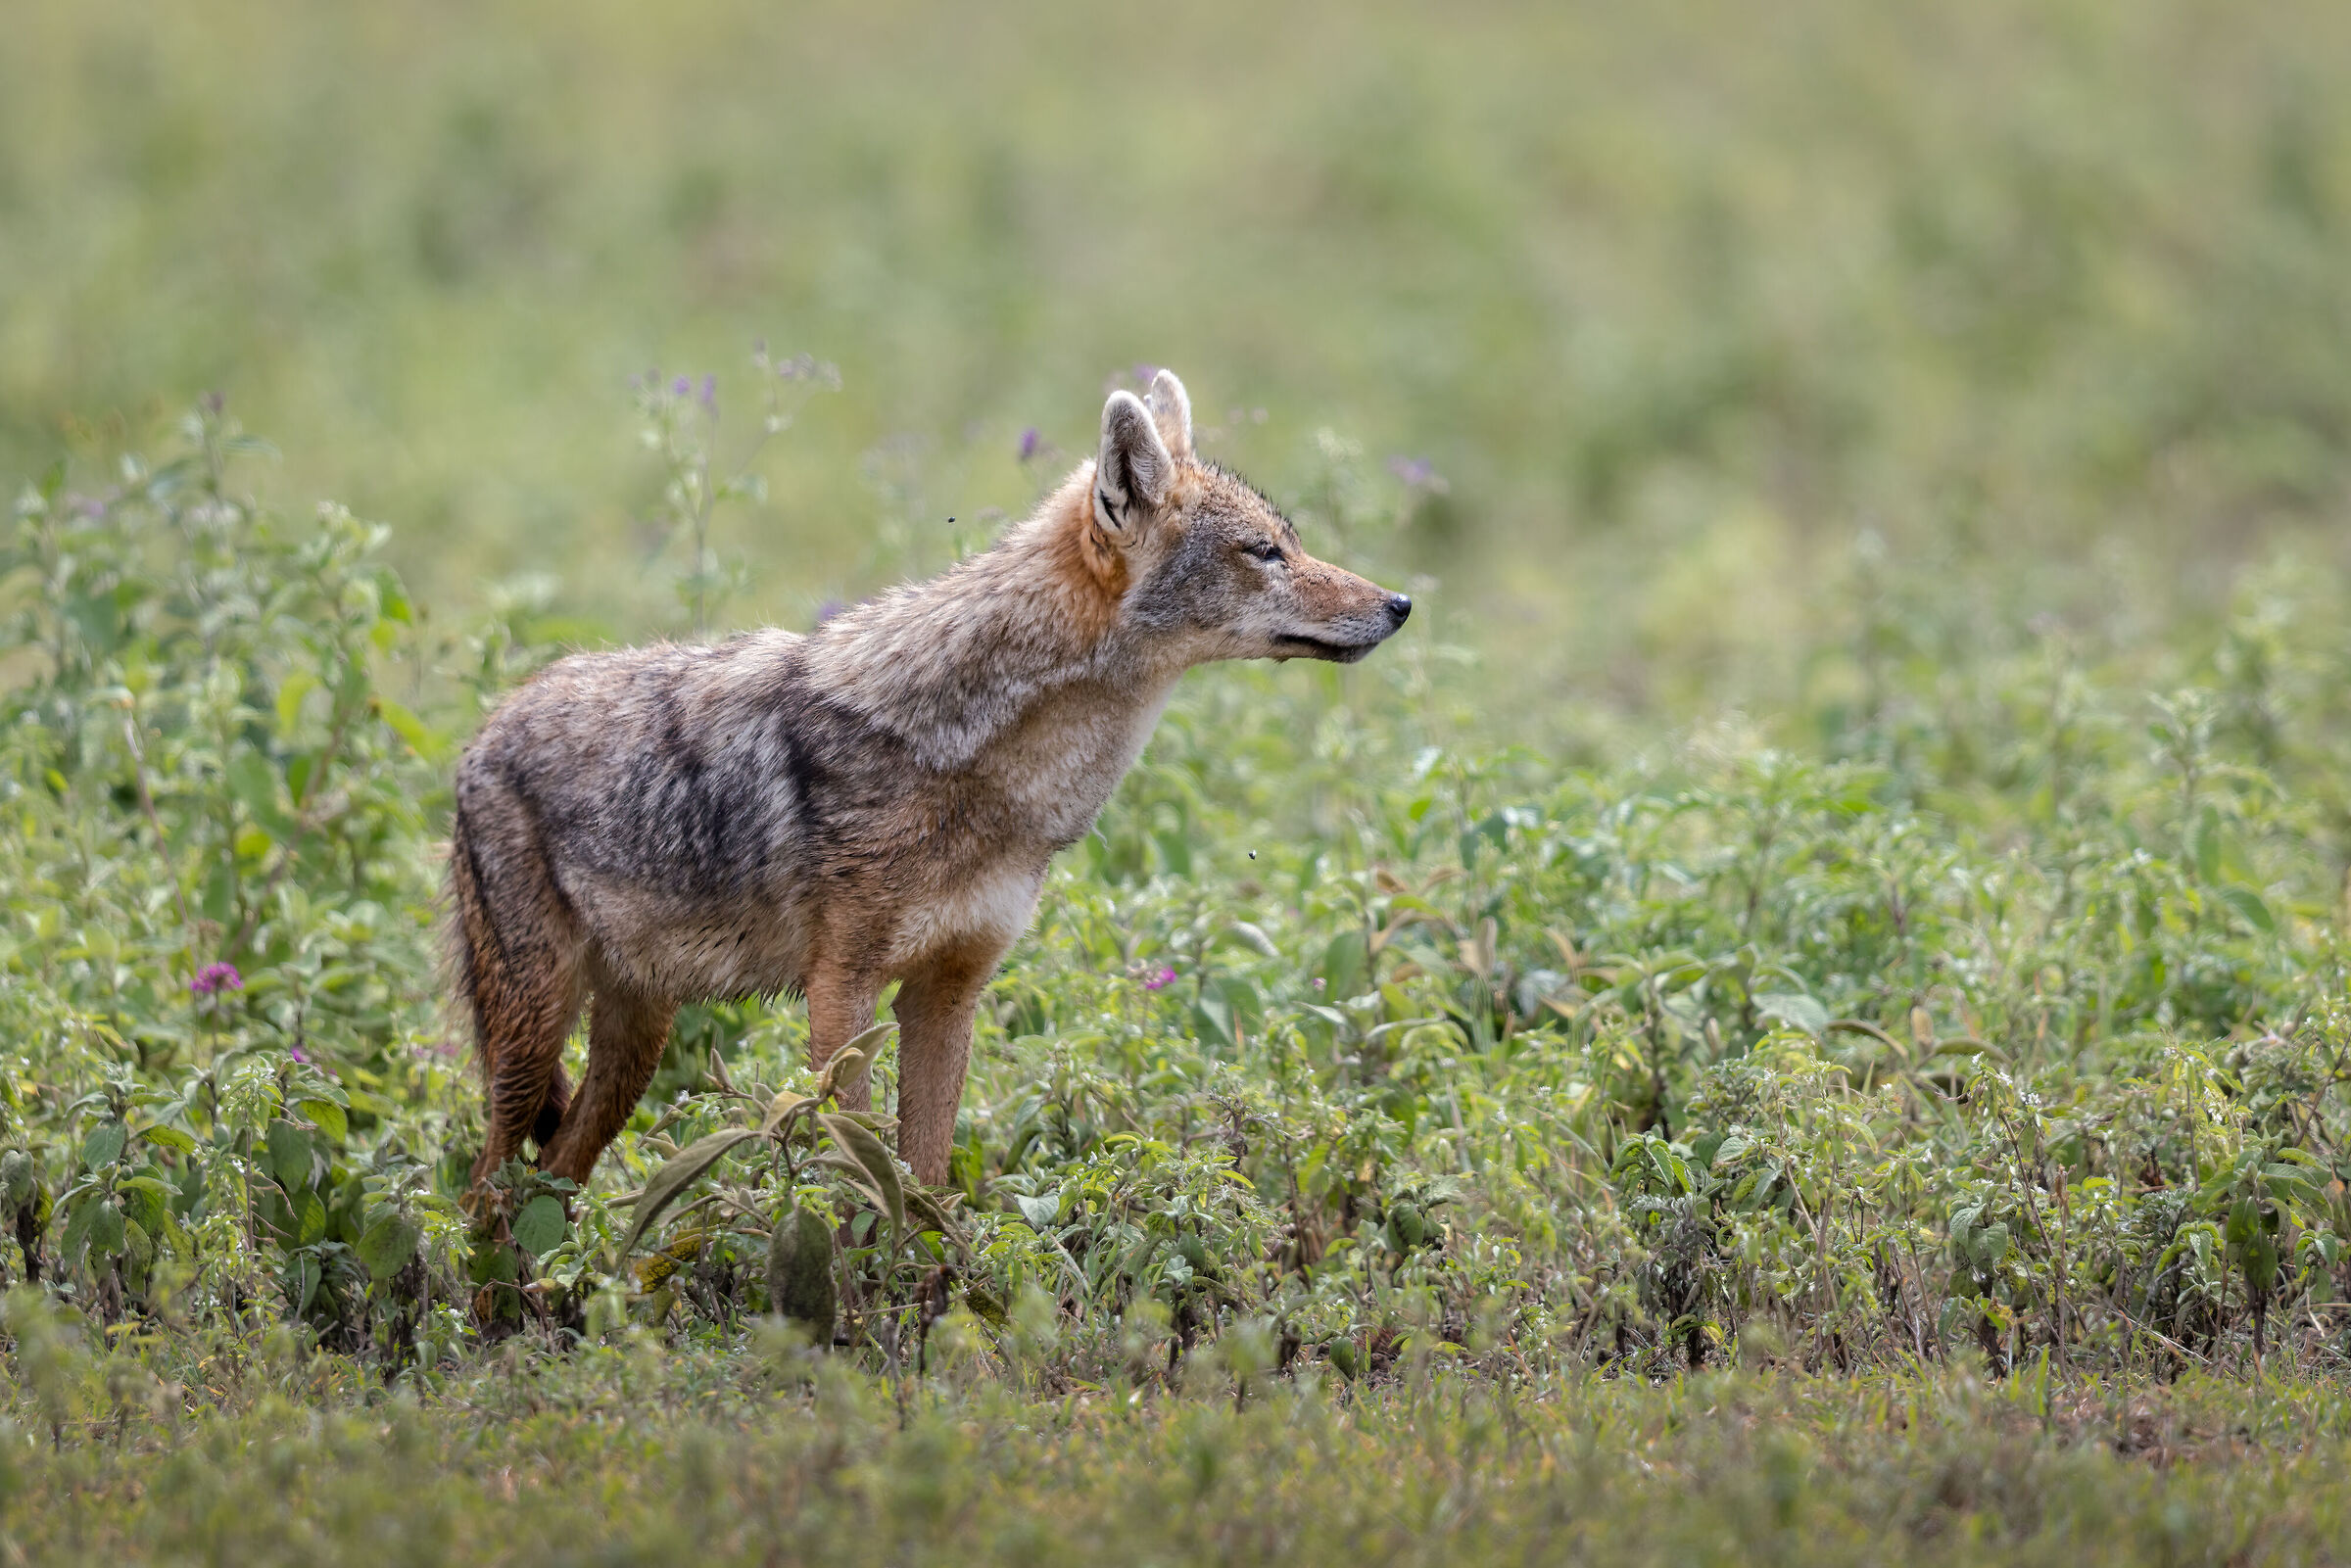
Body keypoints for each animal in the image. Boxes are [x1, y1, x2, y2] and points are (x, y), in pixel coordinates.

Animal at [446, 369, 1411, 1196]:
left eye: (1293, 543)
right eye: (1265, 551)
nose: (1400, 603)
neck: (983, 766)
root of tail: (485, 727)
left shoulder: (948, 989)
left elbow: (928, 1180)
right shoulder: (842, 989)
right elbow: (858, 1177)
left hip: (632, 1048)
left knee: (551, 1181)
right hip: (533, 1036)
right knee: (484, 1191)